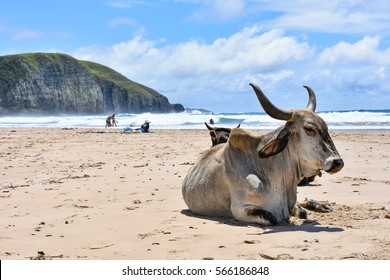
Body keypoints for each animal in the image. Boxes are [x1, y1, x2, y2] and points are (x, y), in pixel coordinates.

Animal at [181, 83, 342, 225]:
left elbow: (302, 212)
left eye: (326, 127)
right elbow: (273, 219)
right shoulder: (240, 210)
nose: (338, 162)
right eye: (309, 129)